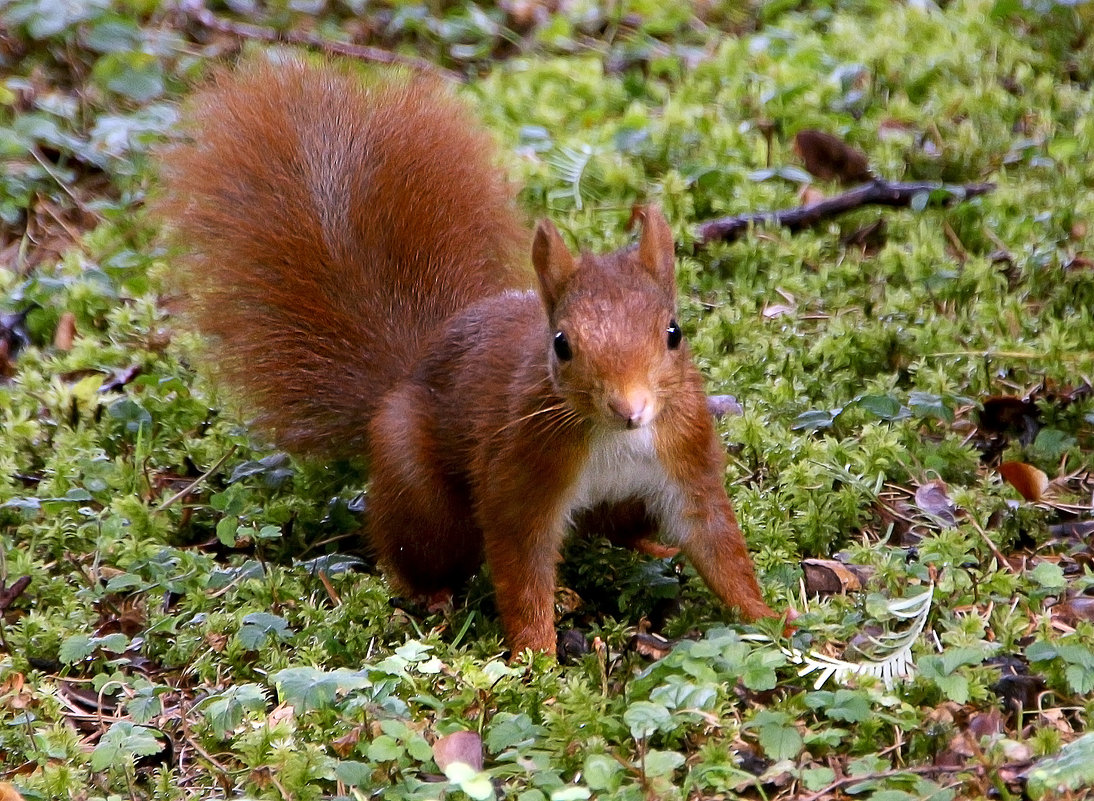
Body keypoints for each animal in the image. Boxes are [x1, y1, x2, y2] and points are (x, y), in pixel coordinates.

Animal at [159, 57, 778, 656]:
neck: (617, 441)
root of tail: (408, 371)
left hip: (627, 501)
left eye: (674, 333)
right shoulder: (520, 470)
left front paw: (774, 620)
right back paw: (430, 594)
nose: (631, 408)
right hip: (420, 487)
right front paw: (537, 657)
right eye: (562, 344)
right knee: (414, 547)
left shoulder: (685, 456)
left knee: (616, 528)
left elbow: (716, 543)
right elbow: (520, 562)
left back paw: (650, 549)